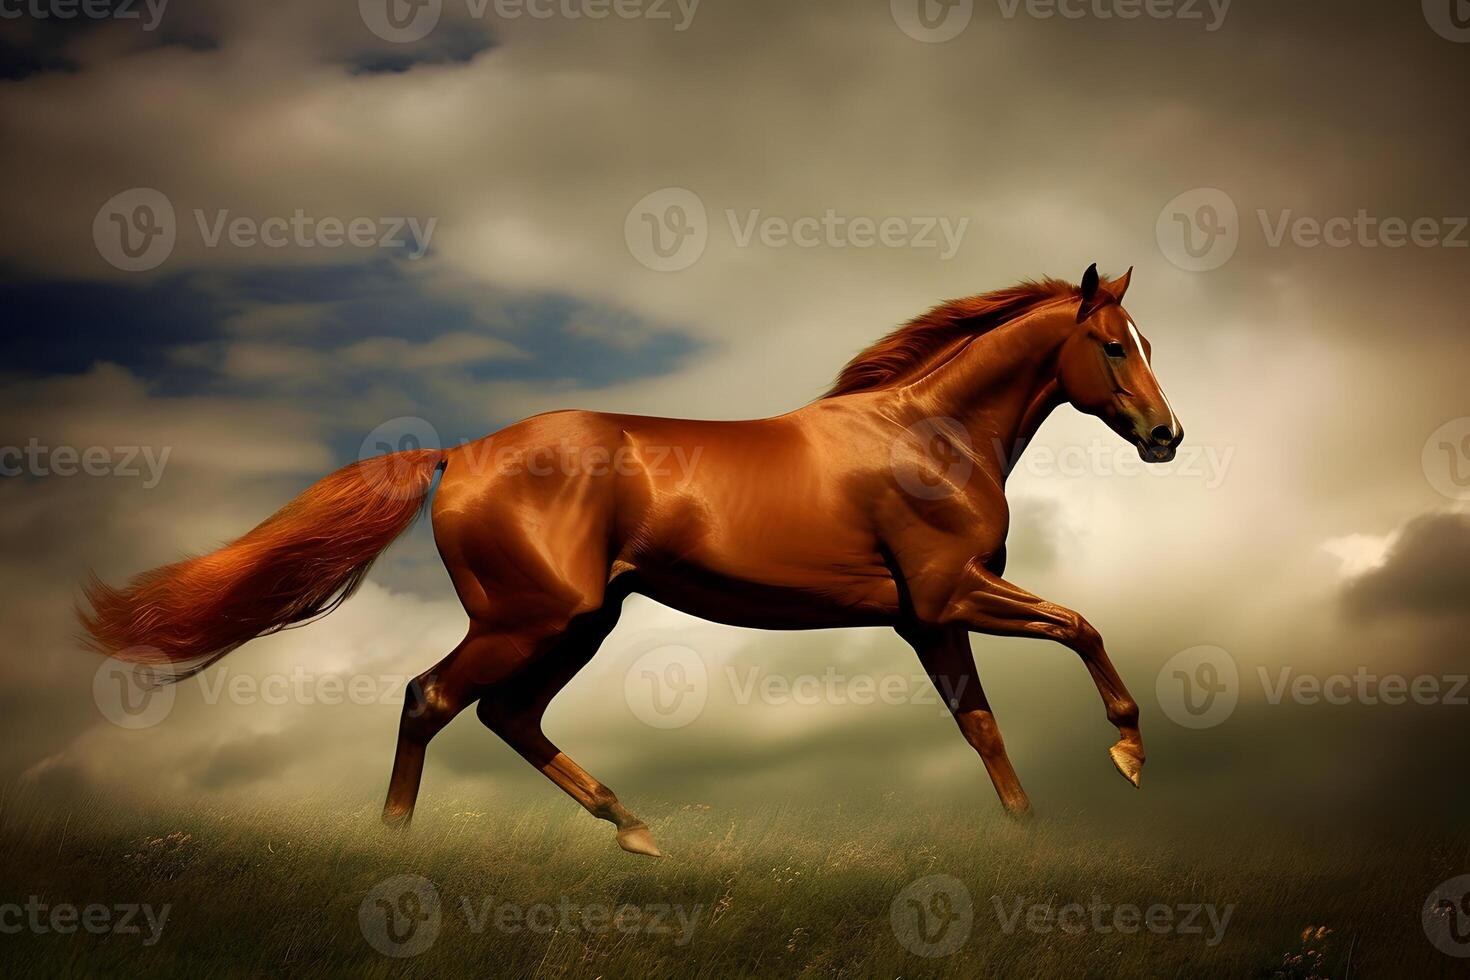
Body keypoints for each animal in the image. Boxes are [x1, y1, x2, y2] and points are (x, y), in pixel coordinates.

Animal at [80, 264, 1181, 852]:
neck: (927, 435)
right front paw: (1128, 754)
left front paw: (1030, 836)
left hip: (580, 621)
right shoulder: (955, 591)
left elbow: (982, 728)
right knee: (430, 699)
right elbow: (1082, 625)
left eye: (1149, 339)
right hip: (530, 617)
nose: (1167, 437)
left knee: (506, 715)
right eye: (1112, 346)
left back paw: (635, 827)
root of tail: (458, 452)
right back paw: (394, 843)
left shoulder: (927, 617)